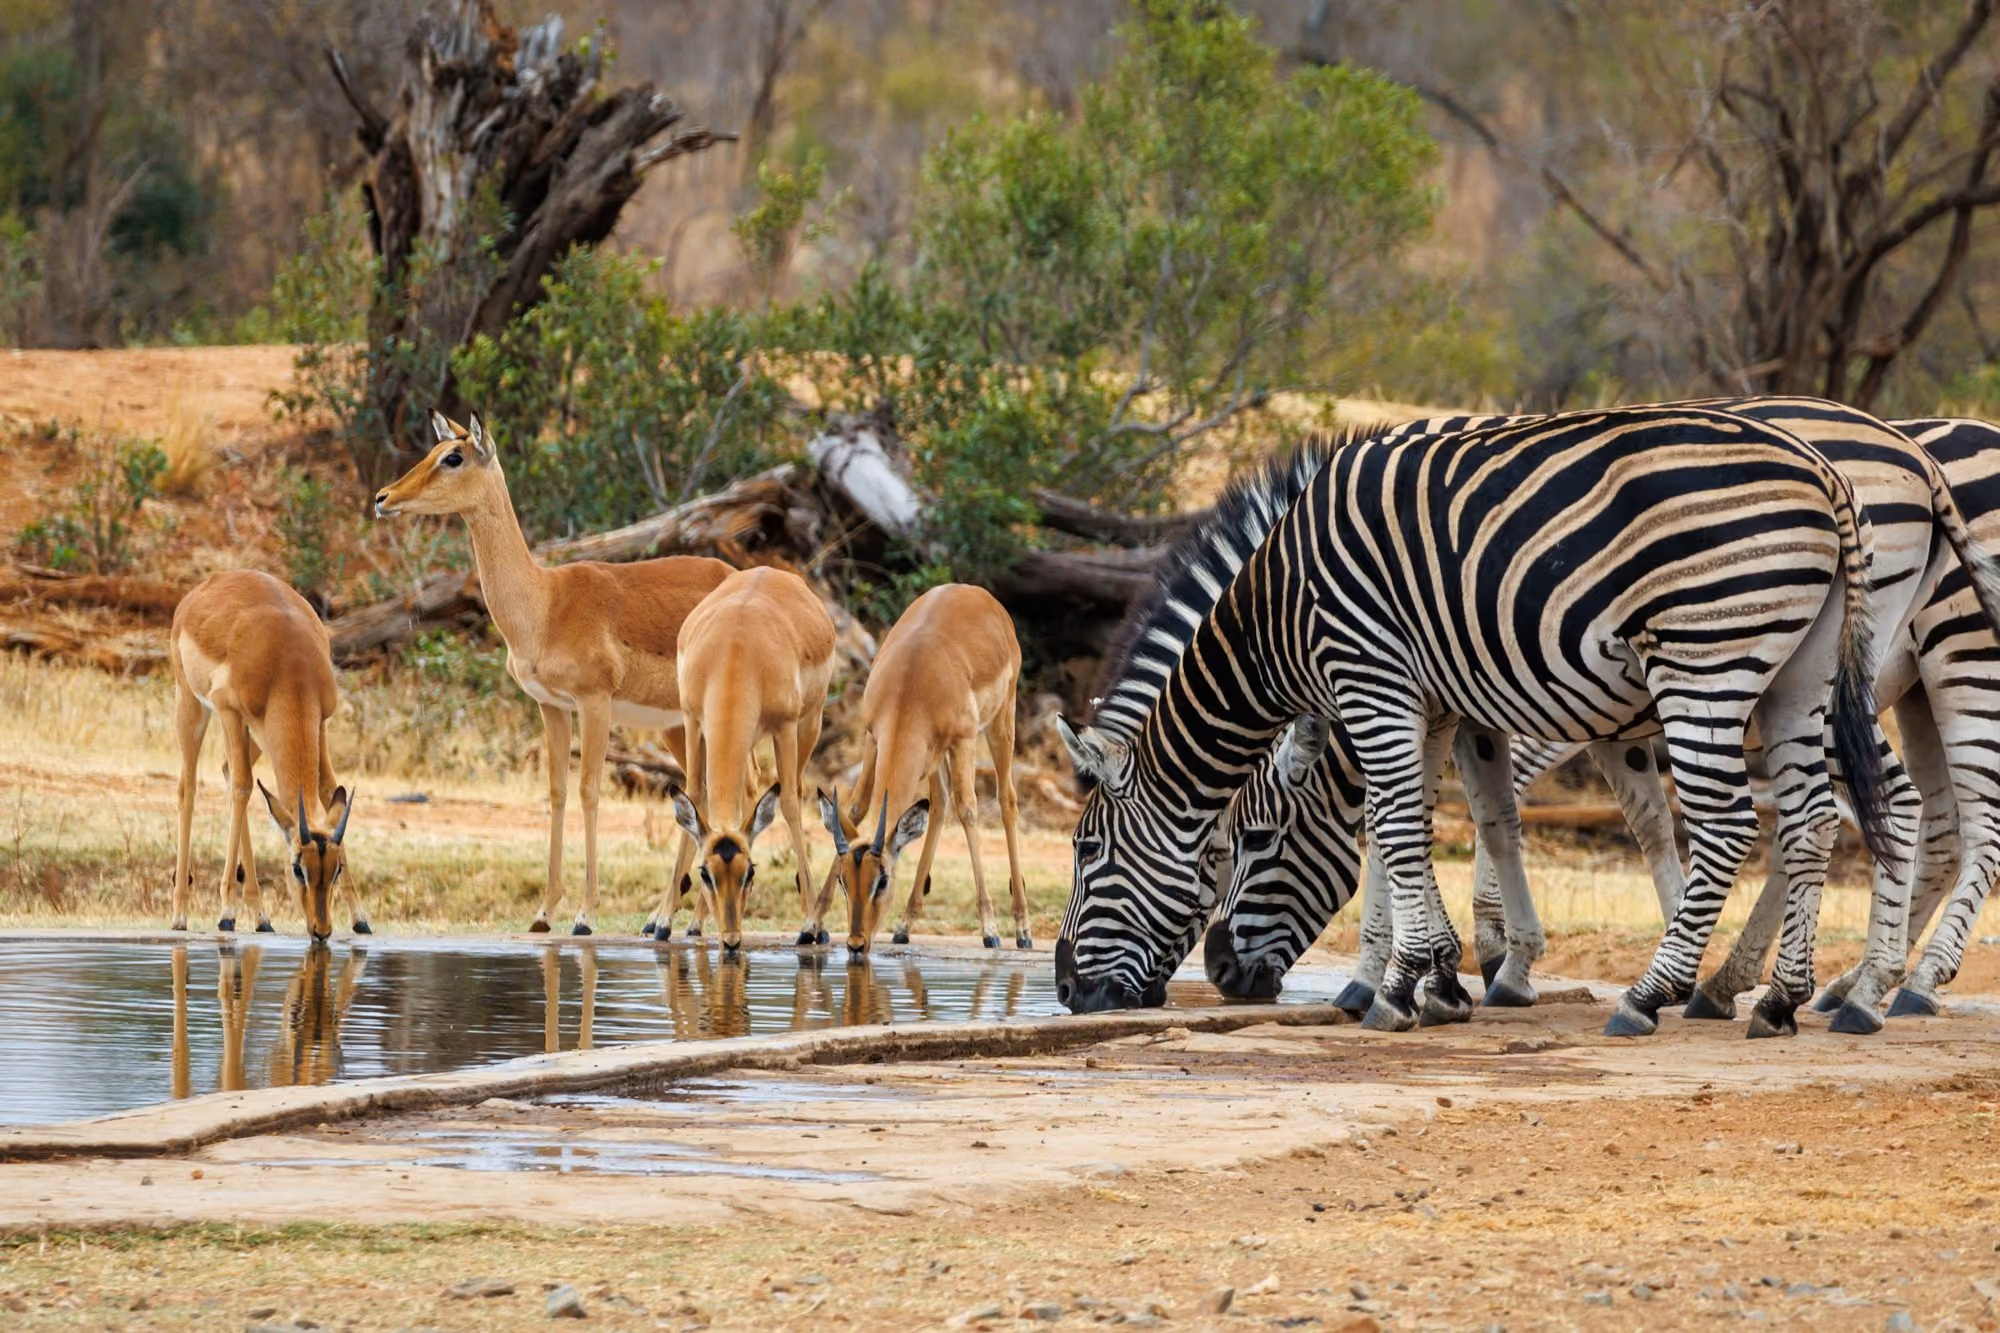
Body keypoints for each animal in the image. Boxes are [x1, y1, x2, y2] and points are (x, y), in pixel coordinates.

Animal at [1056, 404, 1898, 1039]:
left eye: (1088, 849)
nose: (1066, 989)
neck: (1281, 606)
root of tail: (1821, 469)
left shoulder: (1374, 678)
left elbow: (1394, 828)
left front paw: (1403, 983)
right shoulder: (1432, 701)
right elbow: (1438, 824)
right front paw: (1437, 978)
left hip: (1707, 660)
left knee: (1737, 823)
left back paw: (1657, 993)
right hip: (1799, 675)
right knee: (1814, 820)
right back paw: (1781, 997)